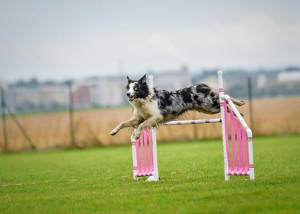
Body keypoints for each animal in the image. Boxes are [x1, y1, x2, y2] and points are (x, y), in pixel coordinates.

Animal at [110, 74, 244, 140]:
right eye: (128, 88)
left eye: (136, 88)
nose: (127, 94)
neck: (143, 100)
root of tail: (202, 85)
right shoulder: (138, 118)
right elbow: (122, 123)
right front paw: (113, 131)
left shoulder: (157, 116)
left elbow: (142, 125)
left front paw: (137, 135)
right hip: (206, 109)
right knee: (225, 104)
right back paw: (240, 111)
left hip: (210, 106)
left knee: (226, 100)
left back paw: (240, 105)